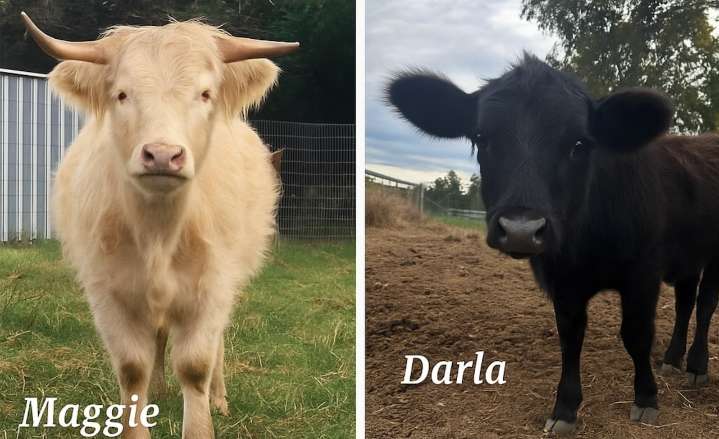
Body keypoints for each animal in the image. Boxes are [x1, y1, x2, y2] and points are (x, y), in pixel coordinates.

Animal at [21, 12, 298, 438]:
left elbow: (195, 365)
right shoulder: (108, 291)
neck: (158, 232)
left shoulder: (212, 286)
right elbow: (133, 367)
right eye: (121, 94)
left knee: (215, 344)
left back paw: (219, 398)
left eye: (205, 94)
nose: (163, 155)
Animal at [386, 53, 719, 433]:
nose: (520, 229)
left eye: (580, 143)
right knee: (685, 303)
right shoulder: (562, 282)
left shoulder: (643, 274)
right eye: (482, 138)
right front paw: (565, 407)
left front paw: (646, 398)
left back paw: (696, 365)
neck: (585, 246)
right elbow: (570, 338)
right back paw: (673, 358)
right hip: (688, 257)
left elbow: (636, 335)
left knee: (705, 305)